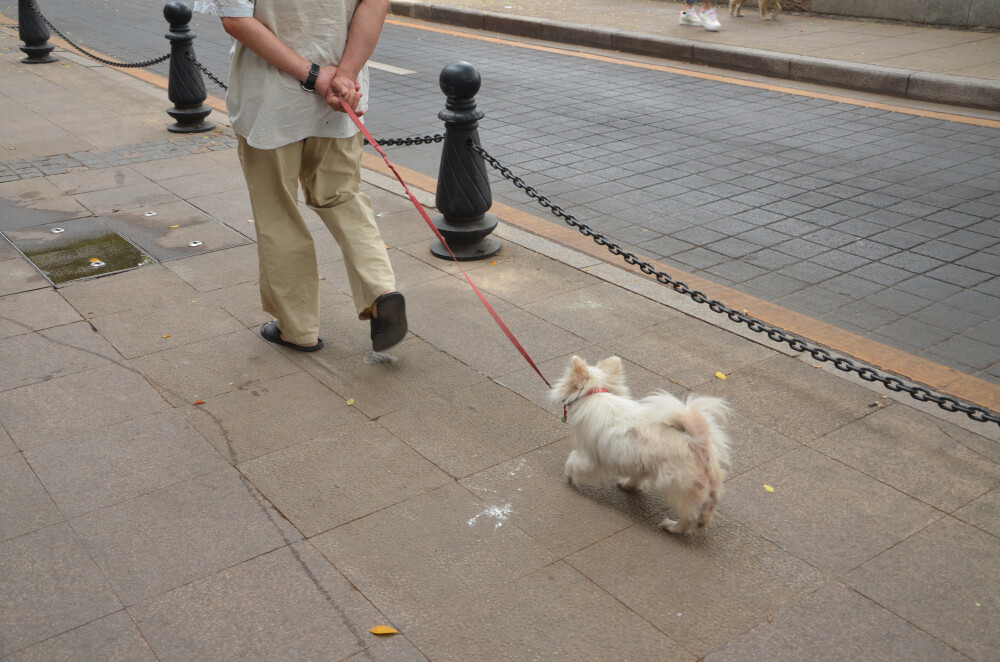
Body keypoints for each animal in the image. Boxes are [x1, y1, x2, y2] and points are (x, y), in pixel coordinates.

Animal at [552, 358, 732, 536]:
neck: (596, 395)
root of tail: (697, 441)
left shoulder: (590, 456)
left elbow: (573, 462)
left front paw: (570, 477)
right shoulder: (640, 463)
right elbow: (636, 477)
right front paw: (628, 486)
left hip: (674, 487)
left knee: (689, 516)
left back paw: (672, 527)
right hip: (710, 480)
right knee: (712, 500)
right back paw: (703, 520)